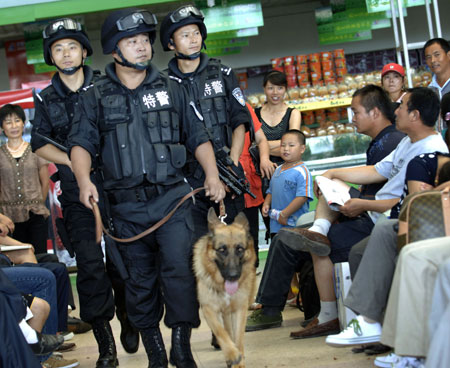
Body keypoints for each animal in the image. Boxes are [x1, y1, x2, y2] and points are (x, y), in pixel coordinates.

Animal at [193, 208, 256, 366]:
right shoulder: (209, 309)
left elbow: (238, 339)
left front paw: (239, 361)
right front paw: (232, 354)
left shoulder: (240, 309)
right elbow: (220, 332)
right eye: (222, 250)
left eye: (240, 249)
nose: (233, 276)